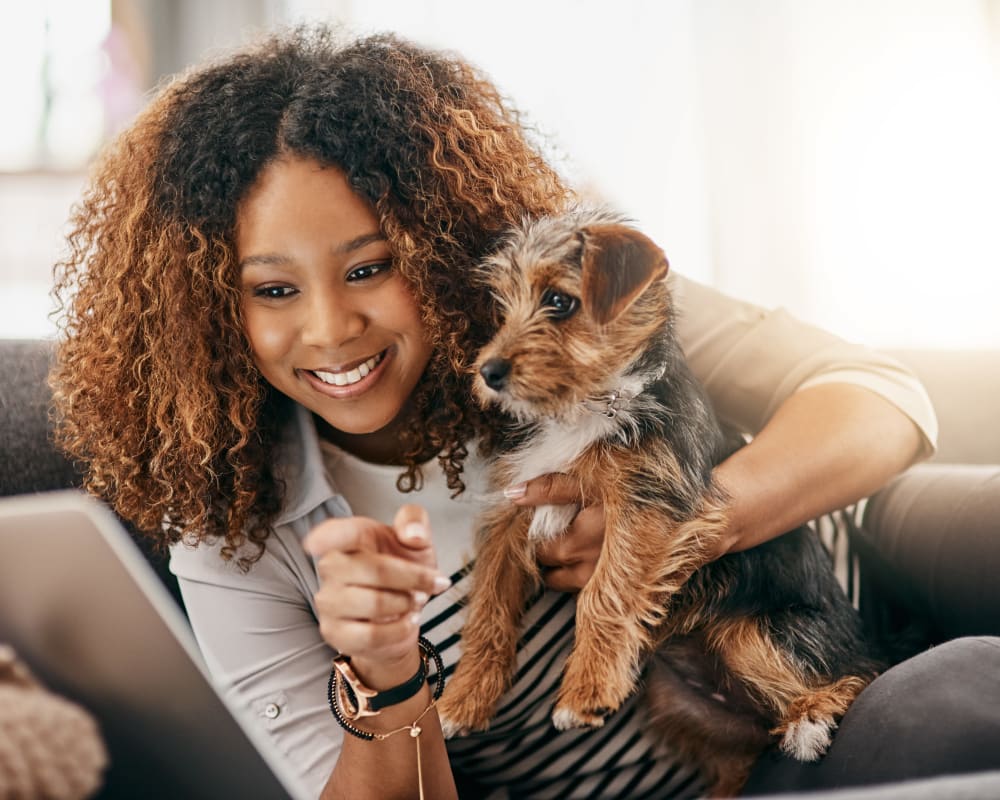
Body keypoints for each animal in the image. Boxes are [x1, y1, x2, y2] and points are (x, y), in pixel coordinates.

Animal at [440, 205, 884, 792]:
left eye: (559, 301)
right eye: (502, 307)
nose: (487, 373)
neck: (588, 406)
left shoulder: (648, 504)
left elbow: (605, 591)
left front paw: (586, 690)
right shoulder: (512, 507)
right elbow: (488, 606)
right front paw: (463, 699)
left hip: (757, 634)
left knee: (862, 674)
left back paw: (812, 717)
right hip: (677, 701)